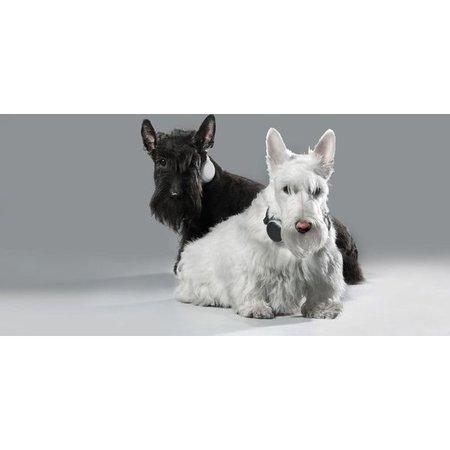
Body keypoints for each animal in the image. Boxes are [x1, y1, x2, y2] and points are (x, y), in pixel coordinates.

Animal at [176, 128, 345, 319]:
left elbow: (322, 289)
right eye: (286, 189)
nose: (303, 226)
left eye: (317, 191)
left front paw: (322, 308)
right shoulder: (251, 266)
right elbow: (252, 286)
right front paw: (255, 307)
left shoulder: (323, 267)